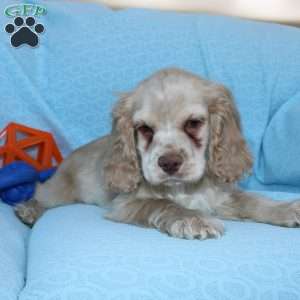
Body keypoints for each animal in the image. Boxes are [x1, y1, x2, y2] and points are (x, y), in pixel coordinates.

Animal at [15, 67, 300, 239]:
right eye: (144, 129)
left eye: (193, 123)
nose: (169, 163)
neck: (185, 189)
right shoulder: (127, 204)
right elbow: (163, 204)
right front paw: (194, 219)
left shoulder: (221, 196)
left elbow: (253, 201)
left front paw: (286, 209)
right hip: (59, 191)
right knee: (41, 193)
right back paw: (29, 210)